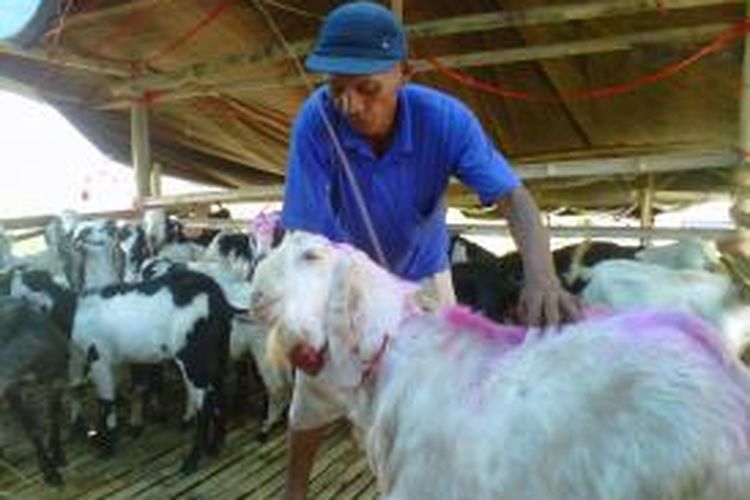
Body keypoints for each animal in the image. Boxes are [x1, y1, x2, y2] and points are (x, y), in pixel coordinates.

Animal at [12, 270, 241, 472]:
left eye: (29, 289)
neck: (73, 312)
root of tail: (216, 295)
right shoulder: (111, 362)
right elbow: (105, 399)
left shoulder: (99, 360)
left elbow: (105, 403)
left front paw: (107, 448)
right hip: (218, 352)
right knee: (220, 395)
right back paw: (215, 447)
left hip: (194, 356)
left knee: (205, 406)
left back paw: (191, 463)